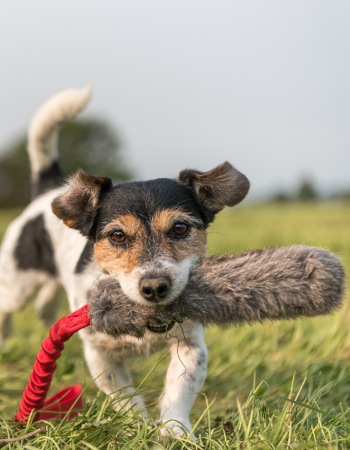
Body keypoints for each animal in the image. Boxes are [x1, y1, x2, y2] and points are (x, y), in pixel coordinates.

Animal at [0, 86, 249, 438]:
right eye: (117, 236)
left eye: (180, 228)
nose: (155, 287)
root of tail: (47, 191)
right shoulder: (100, 356)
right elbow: (125, 398)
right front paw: (138, 428)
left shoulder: (191, 345)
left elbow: (179, 388)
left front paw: (174, 431)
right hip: (16, 286)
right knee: (7, 308)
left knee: (45, 301)